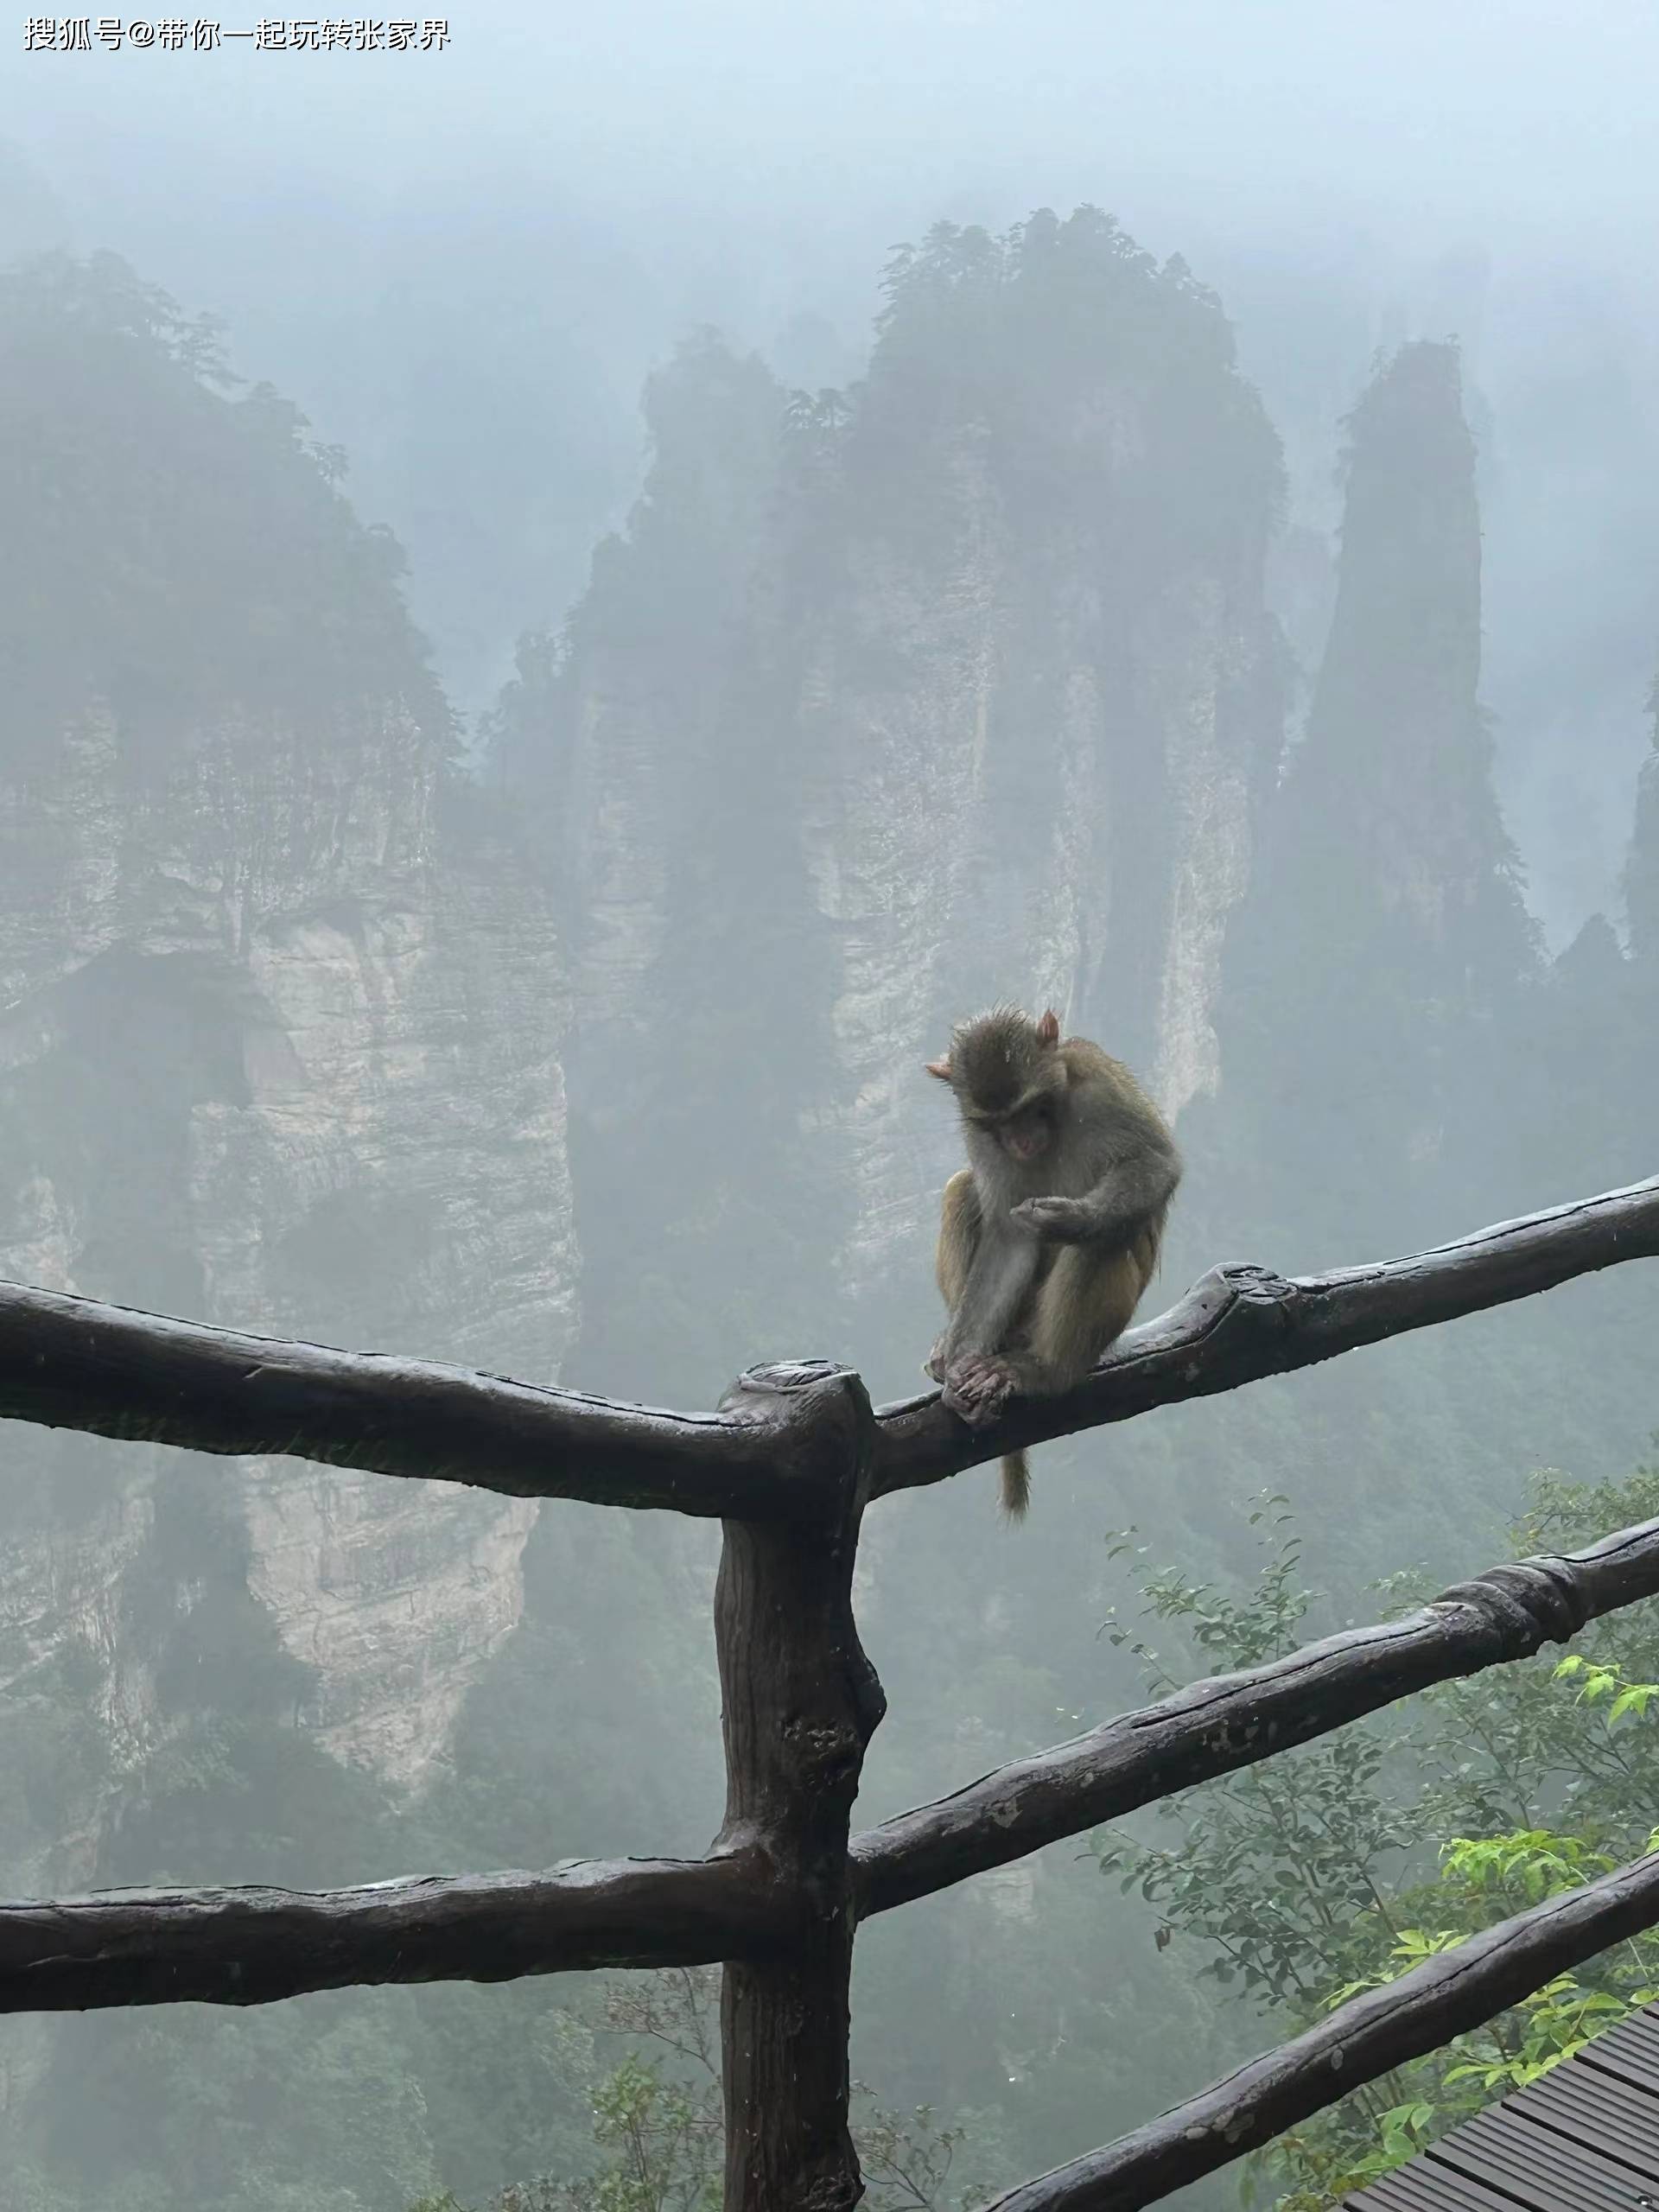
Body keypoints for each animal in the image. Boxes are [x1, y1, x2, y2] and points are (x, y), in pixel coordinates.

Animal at [925, 1008, 1185, 1513]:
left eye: (1029, 1109)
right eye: (997, 1122)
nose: (1021, 1139)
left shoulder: (1099, 1084)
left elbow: (1156, 1164)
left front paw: (1073, 1219)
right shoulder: (981, 1140)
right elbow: (1008, 1239)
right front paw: (960, 1369)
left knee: (1103, 1242)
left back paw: (1045, 1373)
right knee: (961, 1188)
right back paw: (953, 1352)